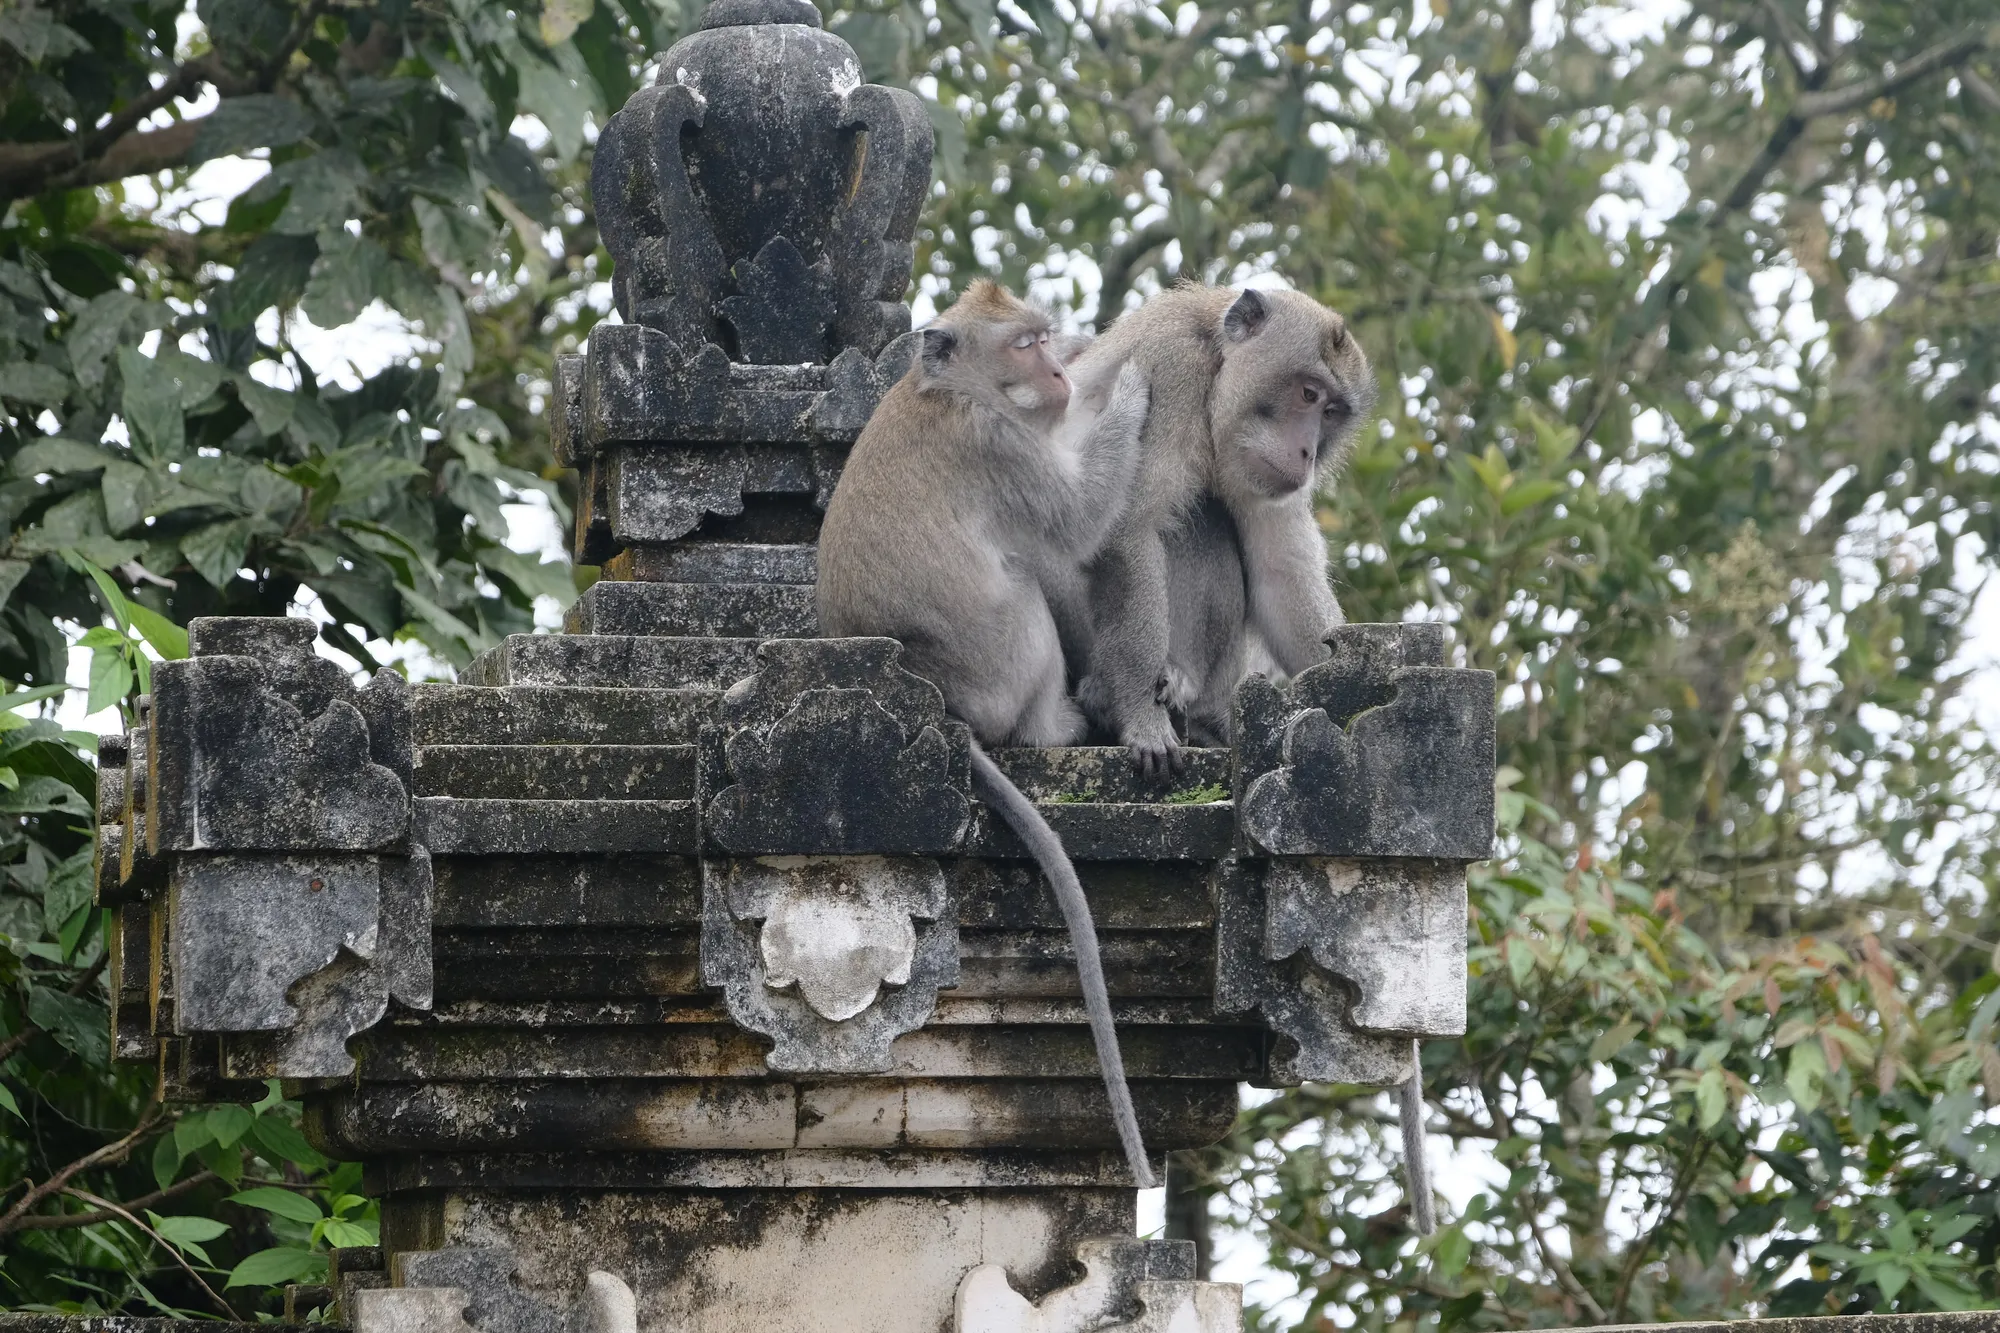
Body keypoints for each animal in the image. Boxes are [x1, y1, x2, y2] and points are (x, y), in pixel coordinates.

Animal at [812, 274, 1160, 1176]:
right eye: (1026, 345)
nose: (1062, 370)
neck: (954, 391)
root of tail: (940, 702)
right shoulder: (999, 446)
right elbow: (1079, 518)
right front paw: (1129, 389)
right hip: (1000, 664)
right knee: (1027, 582)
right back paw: (1062, 725)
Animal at [1064, 286, 1376, 772]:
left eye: (1331, 412)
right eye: (1308, 393)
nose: (1307, 452)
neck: (1215, 365)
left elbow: (1279, 574)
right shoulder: (1171, 369)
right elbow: (1127, 529)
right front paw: (1140, 716)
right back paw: (1110, 696)